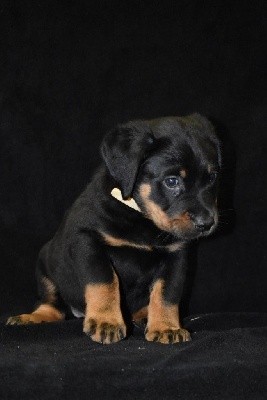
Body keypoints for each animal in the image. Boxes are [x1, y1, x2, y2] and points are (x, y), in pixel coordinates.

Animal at [7, 115, 223, 344]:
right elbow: (104, 281)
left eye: (212, 178)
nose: (206, 223)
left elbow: (167, 293)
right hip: (45, 262)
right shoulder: (87, 240)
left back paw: (144, 316)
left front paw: (166, 327)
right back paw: (31, 317)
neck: (142, 217)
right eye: (172, 181)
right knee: (52, 306)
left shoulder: (176, 255)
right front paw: (106, 322)